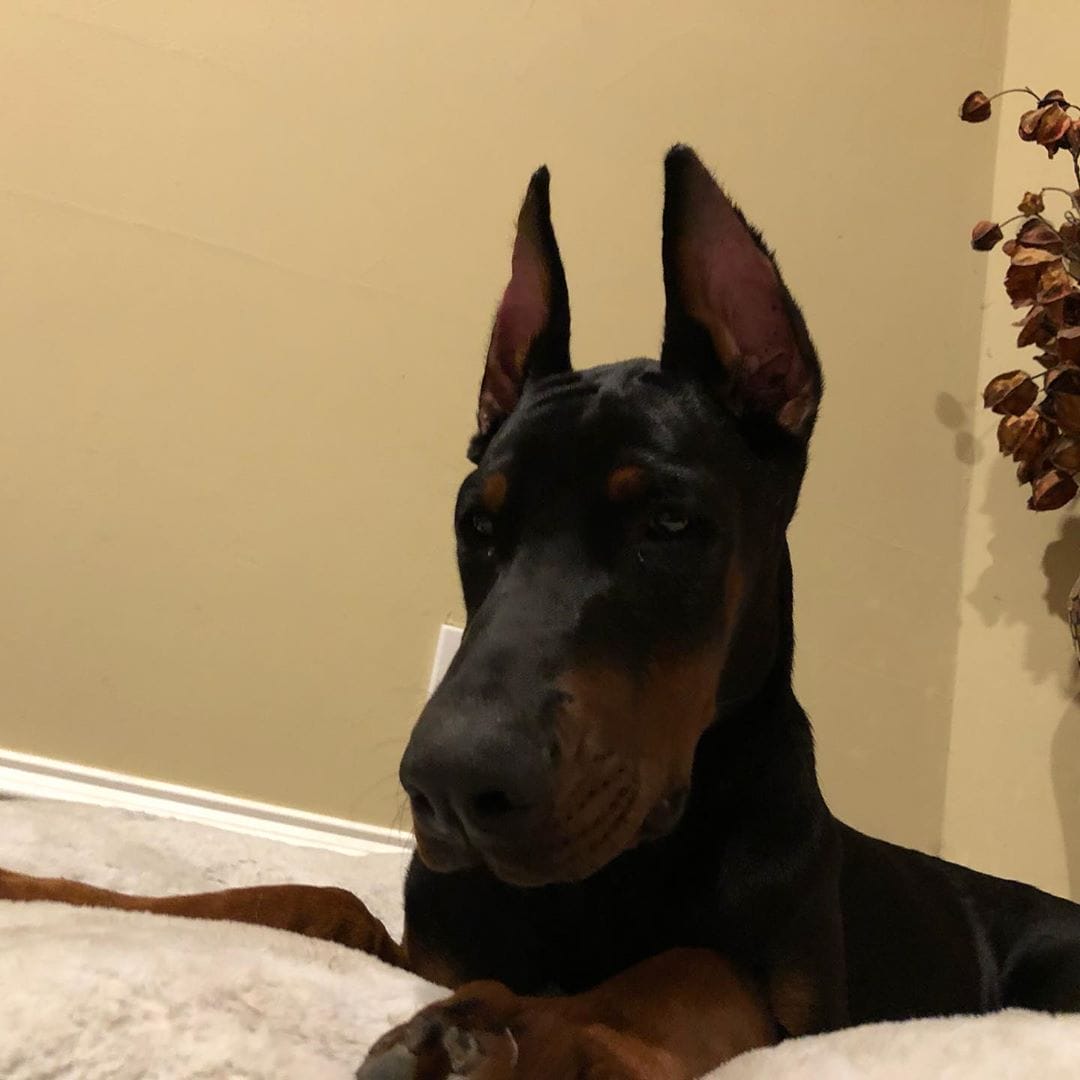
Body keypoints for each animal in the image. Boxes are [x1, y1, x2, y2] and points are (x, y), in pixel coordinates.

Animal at [5, 146, 1080, 1080]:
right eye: (475, 523)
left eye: (670, 523)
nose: (449, 786)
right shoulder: (429, 949)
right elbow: (309, 896)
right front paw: (49, 887)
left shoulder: (802, 1012)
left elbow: (697, 967)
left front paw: (527, 1034)